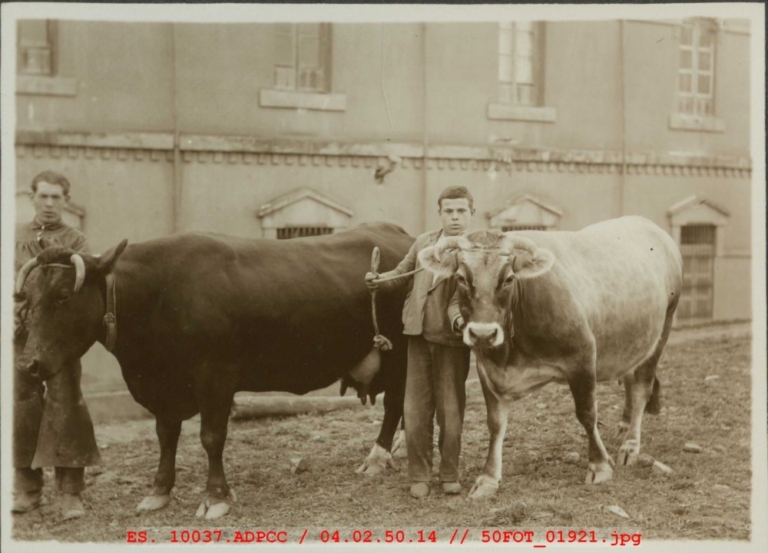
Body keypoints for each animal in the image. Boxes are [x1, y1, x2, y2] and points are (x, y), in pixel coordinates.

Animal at [14, 222, 413, 519]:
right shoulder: (164, 385)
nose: (28, 364)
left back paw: (378, 457)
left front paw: (215, 496)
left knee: (395, 404)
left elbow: (211, 437)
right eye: (27, 298)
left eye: (63, 295)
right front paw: (159, 490)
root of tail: (399, 234)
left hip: (401, 354)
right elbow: (166, 435)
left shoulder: (216, 376)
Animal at [417, 216, 683, 499]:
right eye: (461, 278)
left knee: (642, 387)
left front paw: (599, 465)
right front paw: (488, 478)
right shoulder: (487, 369)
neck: (510, 352)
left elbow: (587, 414)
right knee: (631, 383)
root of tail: (645, 223)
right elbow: (495, 423)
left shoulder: (582, 357)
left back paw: (630, 446)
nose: (483, 334)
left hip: (662, 329)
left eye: (508, 278)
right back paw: (623, 429)